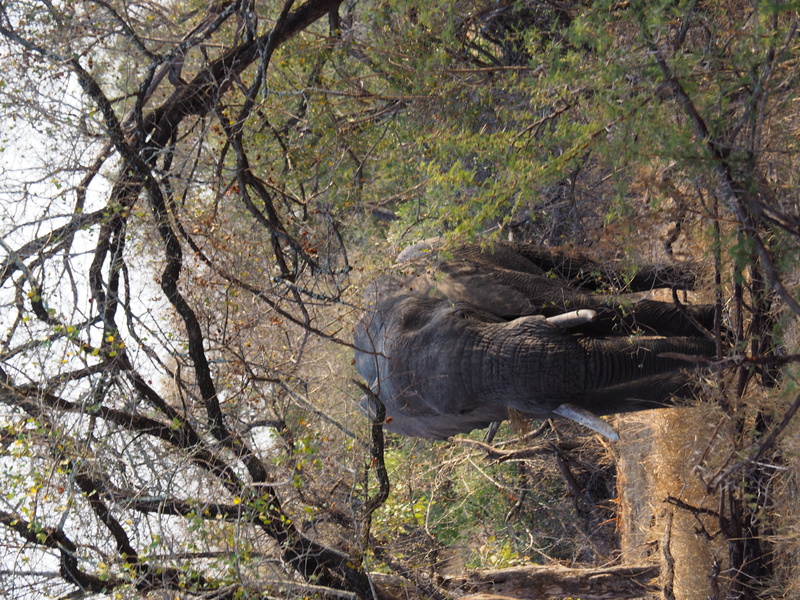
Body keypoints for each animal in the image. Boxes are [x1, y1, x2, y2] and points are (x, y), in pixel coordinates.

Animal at [354, 240, 718, 440]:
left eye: (463, 314)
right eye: (462, 411)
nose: (709, 354)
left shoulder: (486, 281)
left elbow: (589, 305)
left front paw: (722, 334)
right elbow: (605, 398)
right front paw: (711, 382)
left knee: (583, 270)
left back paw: (701, 278)